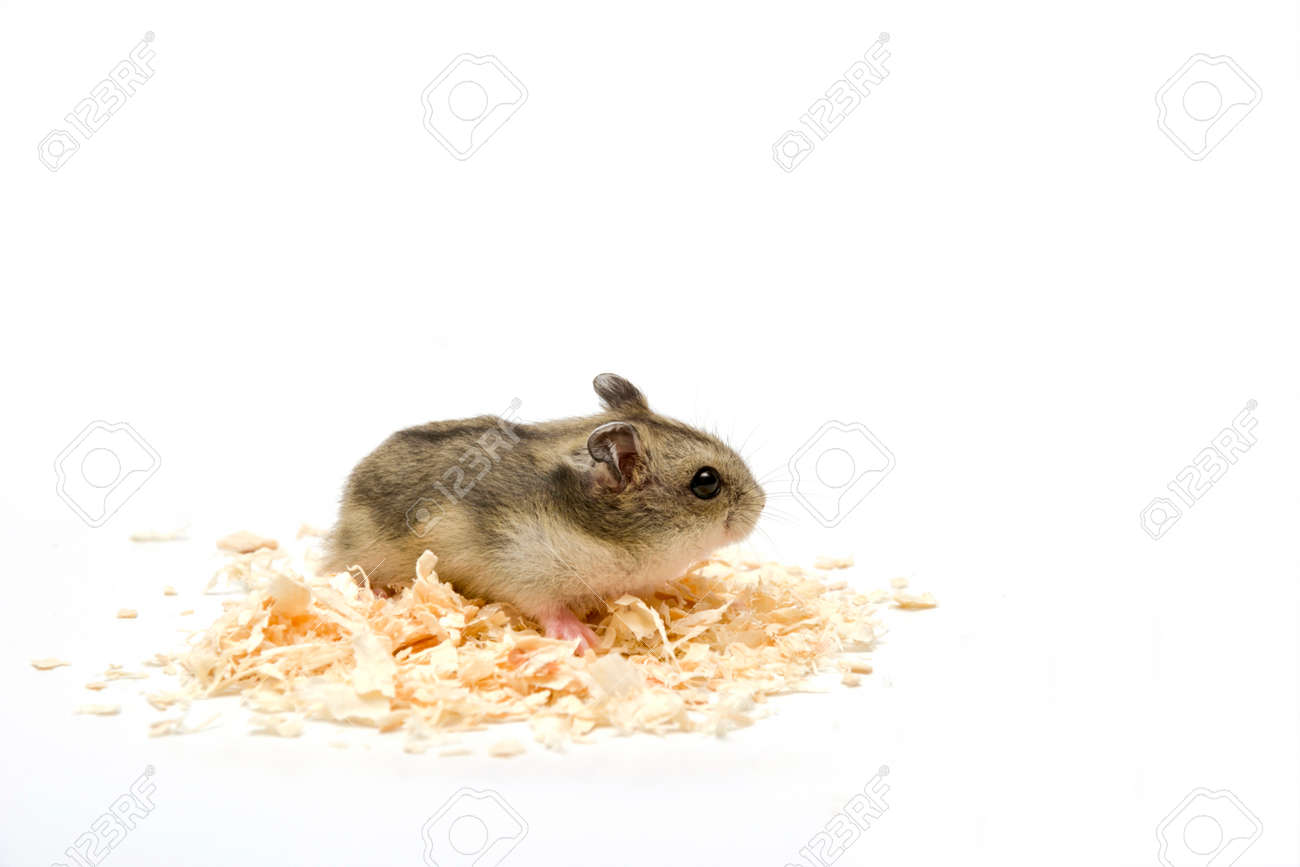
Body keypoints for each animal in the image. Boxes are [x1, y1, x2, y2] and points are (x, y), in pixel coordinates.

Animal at [324, 374, 766, 651]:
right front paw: (586, 641)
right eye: (706, 483)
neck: (608, 535)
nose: (761, 504)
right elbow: (550, 608)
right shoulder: (523, 568)